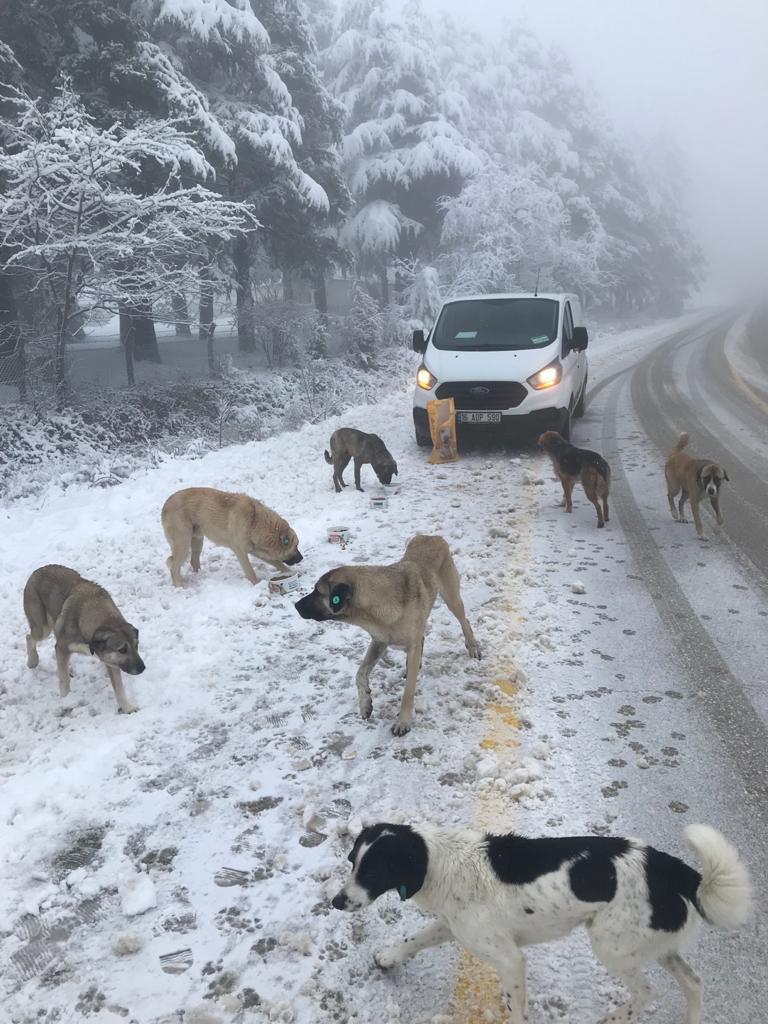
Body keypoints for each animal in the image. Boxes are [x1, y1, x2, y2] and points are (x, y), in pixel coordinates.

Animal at [23, 565, 145, 716]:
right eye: (122, 649)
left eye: (136, 645)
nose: (143, 668)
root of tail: (37, 571)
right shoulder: (62, 647)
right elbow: (64, 681)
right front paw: (66, 702)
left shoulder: (111, 660)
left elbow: (119, 688)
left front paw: (127, 707)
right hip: (42, 629)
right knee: (29, 637)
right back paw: (33, 661)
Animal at [160, 485, 303, 585]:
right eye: (296, 546)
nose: (301, 558)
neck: (255, 521)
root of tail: (166, 504)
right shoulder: (240, 551)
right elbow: (250, 572)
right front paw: (256, 584)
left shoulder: (256, 550)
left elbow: (278, 563)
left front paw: (291, 572)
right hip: (183, 543)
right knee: (174, 569)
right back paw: (181, 586)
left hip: (197, 540)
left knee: (193, 561)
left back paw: (199, 576)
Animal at [294, 536, 481, 737]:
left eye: (318, 592)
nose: (296, 605)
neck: (377, 603)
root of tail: (431, 536)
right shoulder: (379, 641)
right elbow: (360, 672)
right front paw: (365, 704)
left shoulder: (407, 644)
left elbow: (408, 693)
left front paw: (403, 722)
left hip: (451, 597)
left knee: (464, 620)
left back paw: (473, 646)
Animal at [331, 819, 753, 1024]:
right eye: (352, 861)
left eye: (372, 871)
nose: (336, 901)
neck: (439, 863)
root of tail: (670, 867)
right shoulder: (454, 926)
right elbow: (416, 939)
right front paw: (388, 957)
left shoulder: (509, 958)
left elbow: (517, 1008)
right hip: (652, 944)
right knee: (694, 983)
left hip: (612, 947)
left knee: (648, 993)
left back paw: (612, 1019)